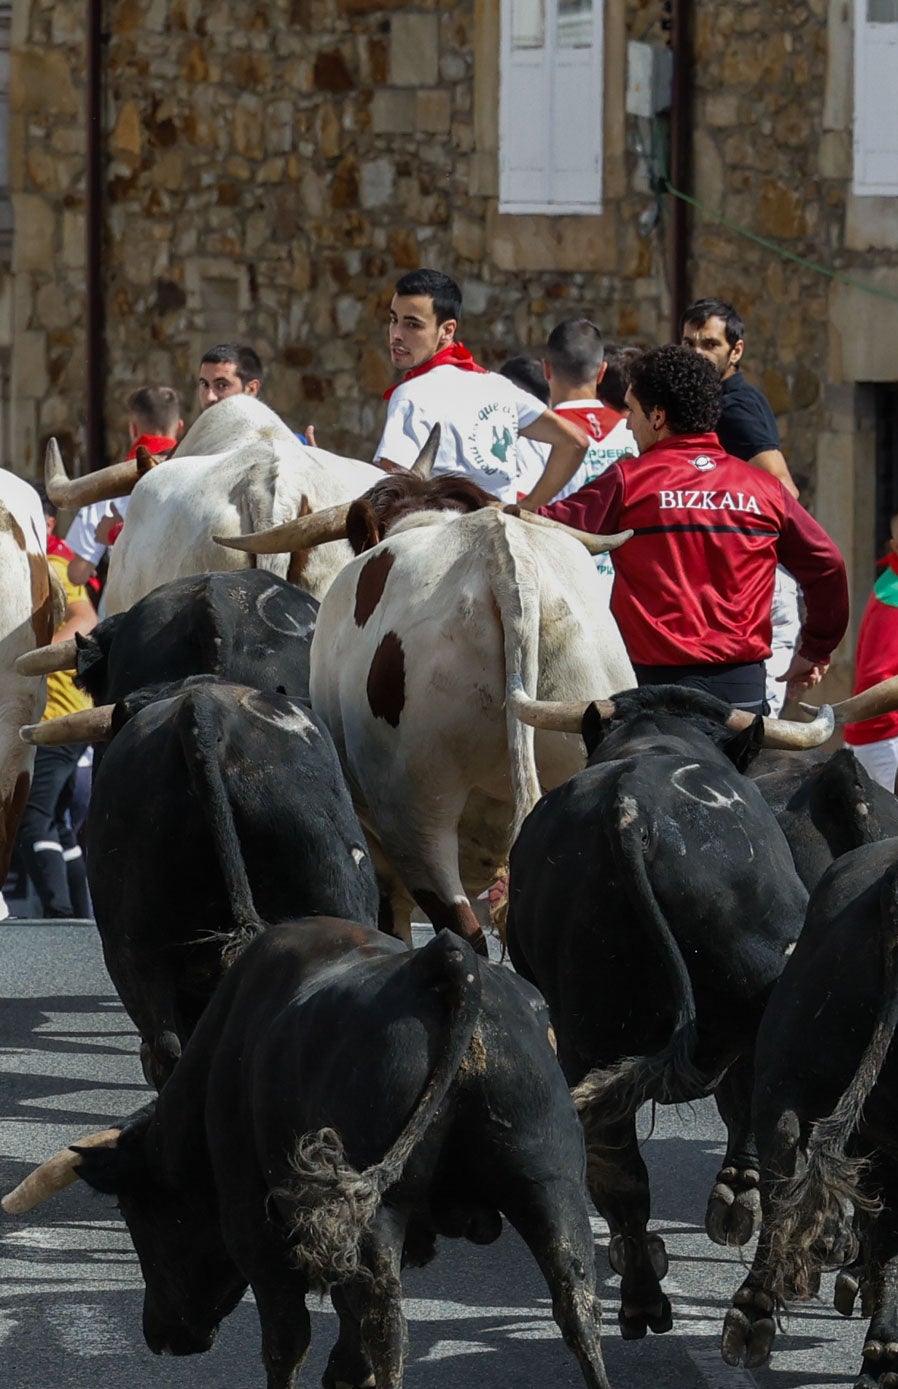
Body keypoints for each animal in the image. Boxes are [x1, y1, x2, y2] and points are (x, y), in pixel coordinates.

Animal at [3, 922, 613, 1389]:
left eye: (136, 1212)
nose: (160, 1338)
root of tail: (442, 959)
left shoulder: (255, 1233)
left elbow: (287, 1339)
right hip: (549, 1184)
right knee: (576, 1303)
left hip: (378, 1217)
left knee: (386, 1328)